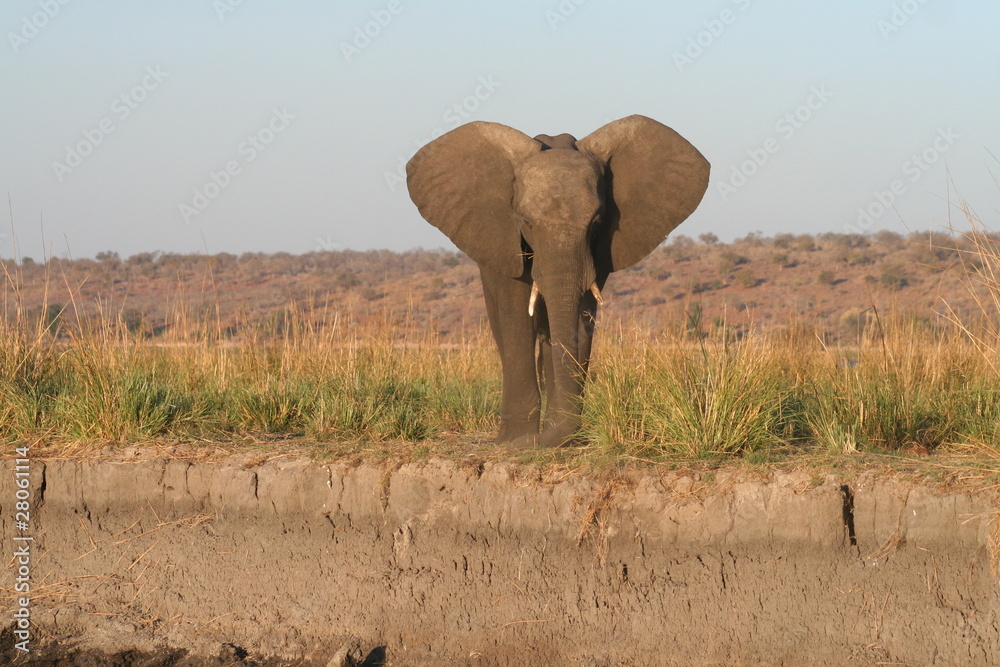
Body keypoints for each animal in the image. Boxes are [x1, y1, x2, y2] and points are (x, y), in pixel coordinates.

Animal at [406, 115, 710, 448]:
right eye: (526, 221)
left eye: (597, 221)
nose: (538, 440)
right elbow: (517, 313)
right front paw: (517, 440)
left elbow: (579, 315)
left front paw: (546, 437)